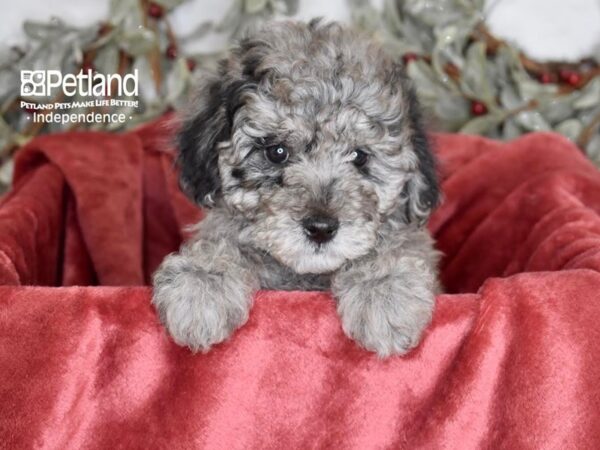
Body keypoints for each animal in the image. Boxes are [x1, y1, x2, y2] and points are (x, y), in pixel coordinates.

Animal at [150, 20, 440, 358]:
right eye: (277, 152)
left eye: (359, 157)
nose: (321, 228)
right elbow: (223, 244)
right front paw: (201, 283)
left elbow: (393, 245)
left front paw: (383, 288)